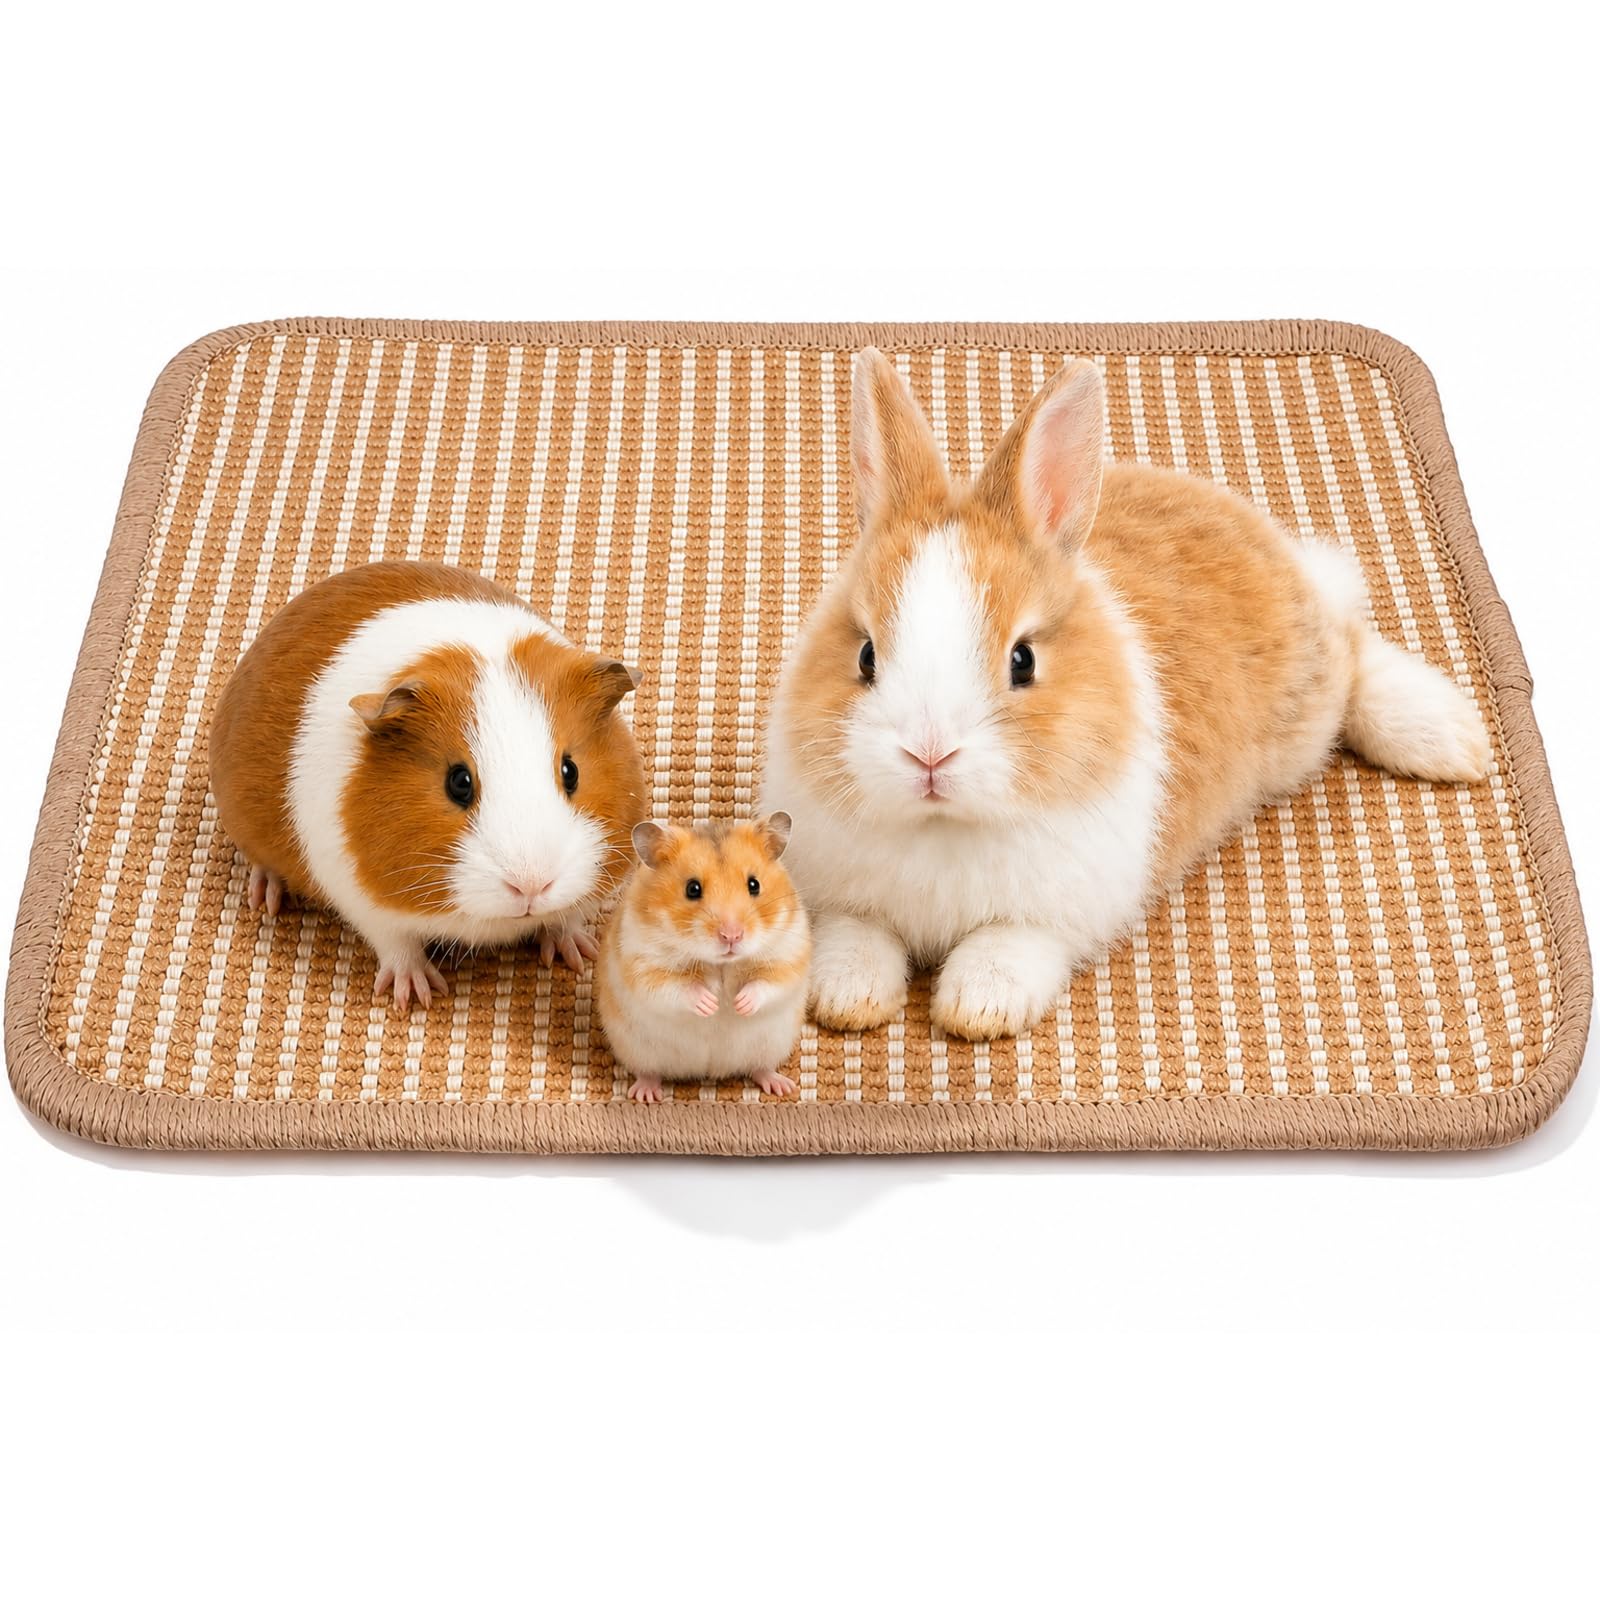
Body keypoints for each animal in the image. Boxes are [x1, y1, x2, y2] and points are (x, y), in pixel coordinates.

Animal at [760, 349, 1491, 1042]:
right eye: (865, 655)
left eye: (1023, 660)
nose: (930, 754)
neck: (943, 824)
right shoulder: (842, 898)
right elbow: (854, 940)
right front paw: (846, 999)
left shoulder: (1052, 916)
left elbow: (1005, 950)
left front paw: (979, 1007)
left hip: (1303, 712)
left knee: (1355, 651)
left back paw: (1452, 738)